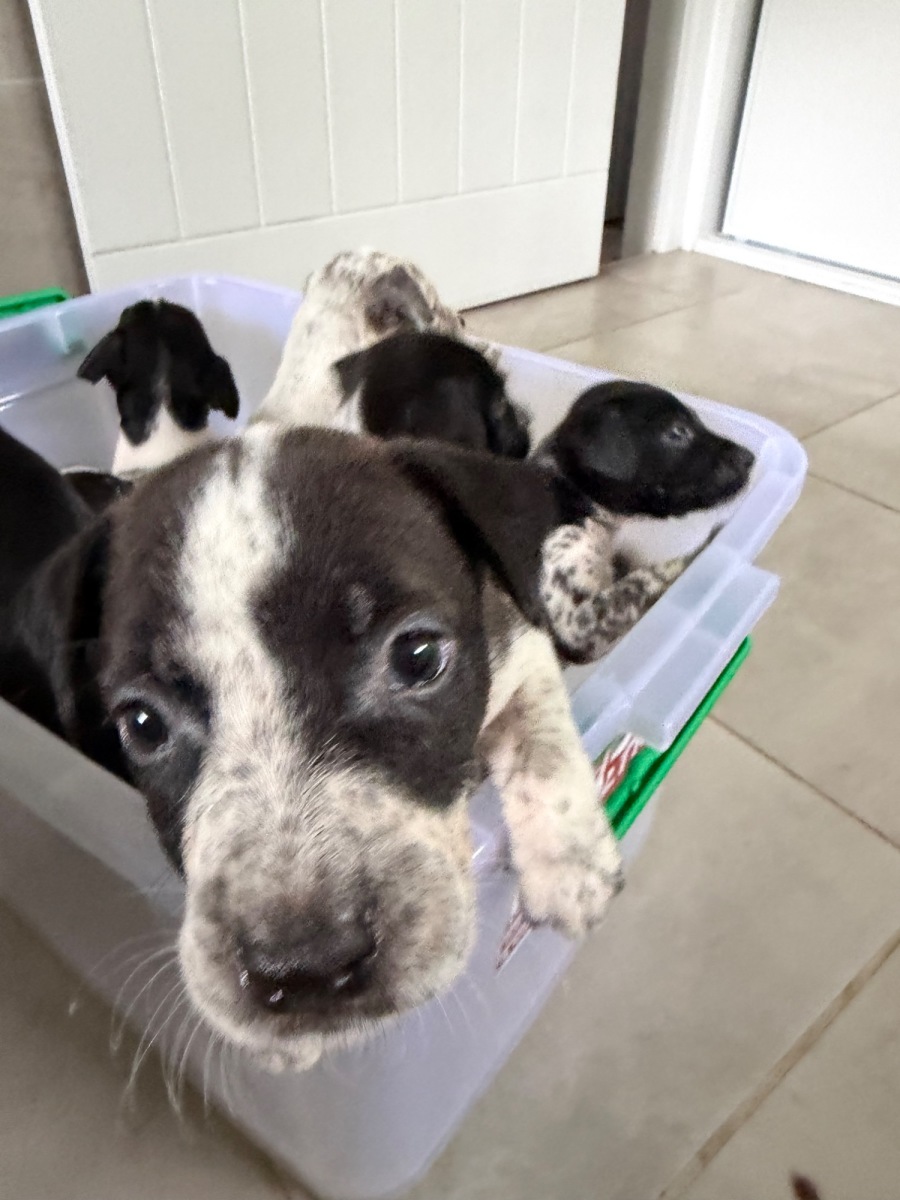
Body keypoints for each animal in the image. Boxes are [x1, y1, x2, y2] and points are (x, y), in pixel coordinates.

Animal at [0, 425, 621, 1070]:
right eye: (143, 724)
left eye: (419, 657)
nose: (307, 969)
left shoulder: (520, 640)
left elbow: (542, 733)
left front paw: (572, 864)